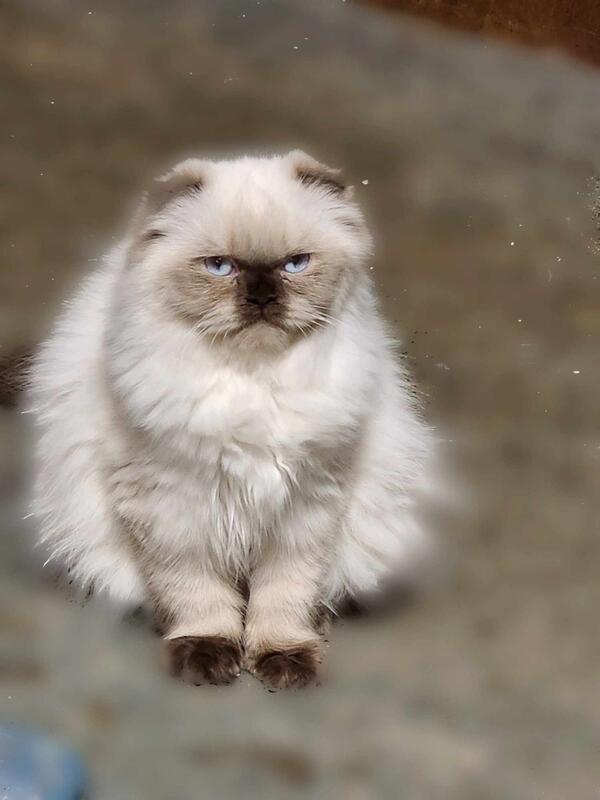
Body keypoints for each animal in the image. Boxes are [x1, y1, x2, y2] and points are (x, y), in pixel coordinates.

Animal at [28, 150, 434, 689]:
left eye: (295, 264)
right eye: (220, 267)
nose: (261, 297)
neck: (254, 382)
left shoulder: (306, 506)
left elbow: (283, 595)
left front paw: (283, 659)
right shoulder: (171, 503)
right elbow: (196, 593)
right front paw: (207, 654)